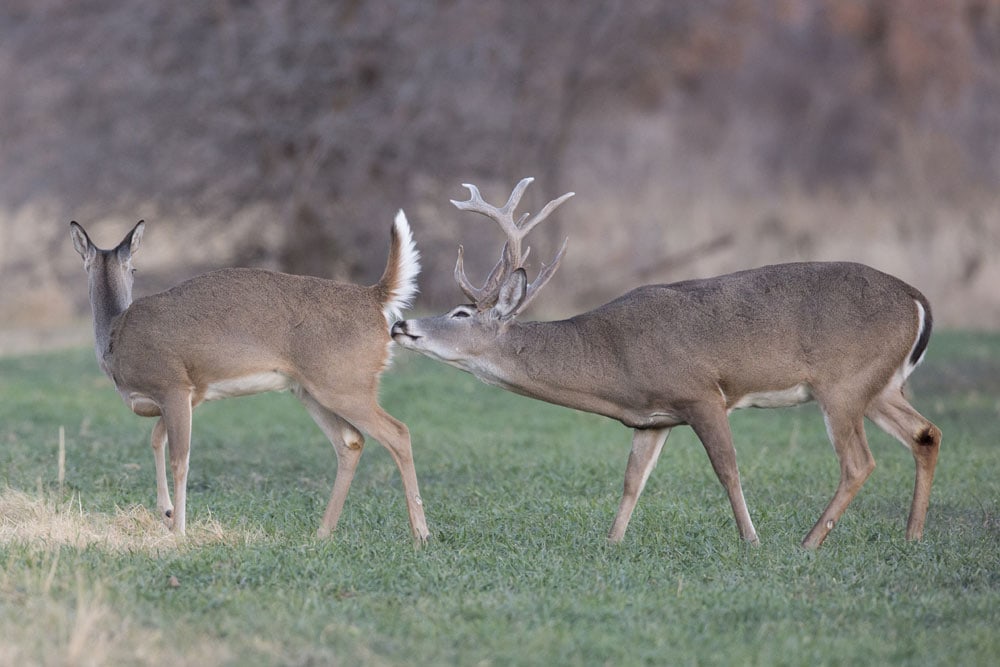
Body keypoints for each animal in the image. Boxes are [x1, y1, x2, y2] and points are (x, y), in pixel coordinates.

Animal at [70, 214, 430, 544]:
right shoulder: (189, 395)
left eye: (134, 270)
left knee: (398, 432)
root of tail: (374, 297)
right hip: (311, 389)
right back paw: (322, 533)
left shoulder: (174, 386)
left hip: (344, 384)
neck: (115, 335)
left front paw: (180, 530)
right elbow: (156, 440)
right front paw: (168, 514)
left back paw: (421, 533)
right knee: (351, 441)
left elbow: (179, 459)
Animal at [392, 177, 944, 548]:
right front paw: (612, 542)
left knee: (859, 461)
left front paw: (751, 541)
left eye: (461, 313)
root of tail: (919, 299)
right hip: (880, 386)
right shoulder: (651, 419)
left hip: (842, 384)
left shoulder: (701, 393)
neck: (611, 358)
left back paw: (808, 543)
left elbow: (728, 469)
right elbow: (632, 480)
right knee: (925, 434)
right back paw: (912, 535)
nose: (401, 326)